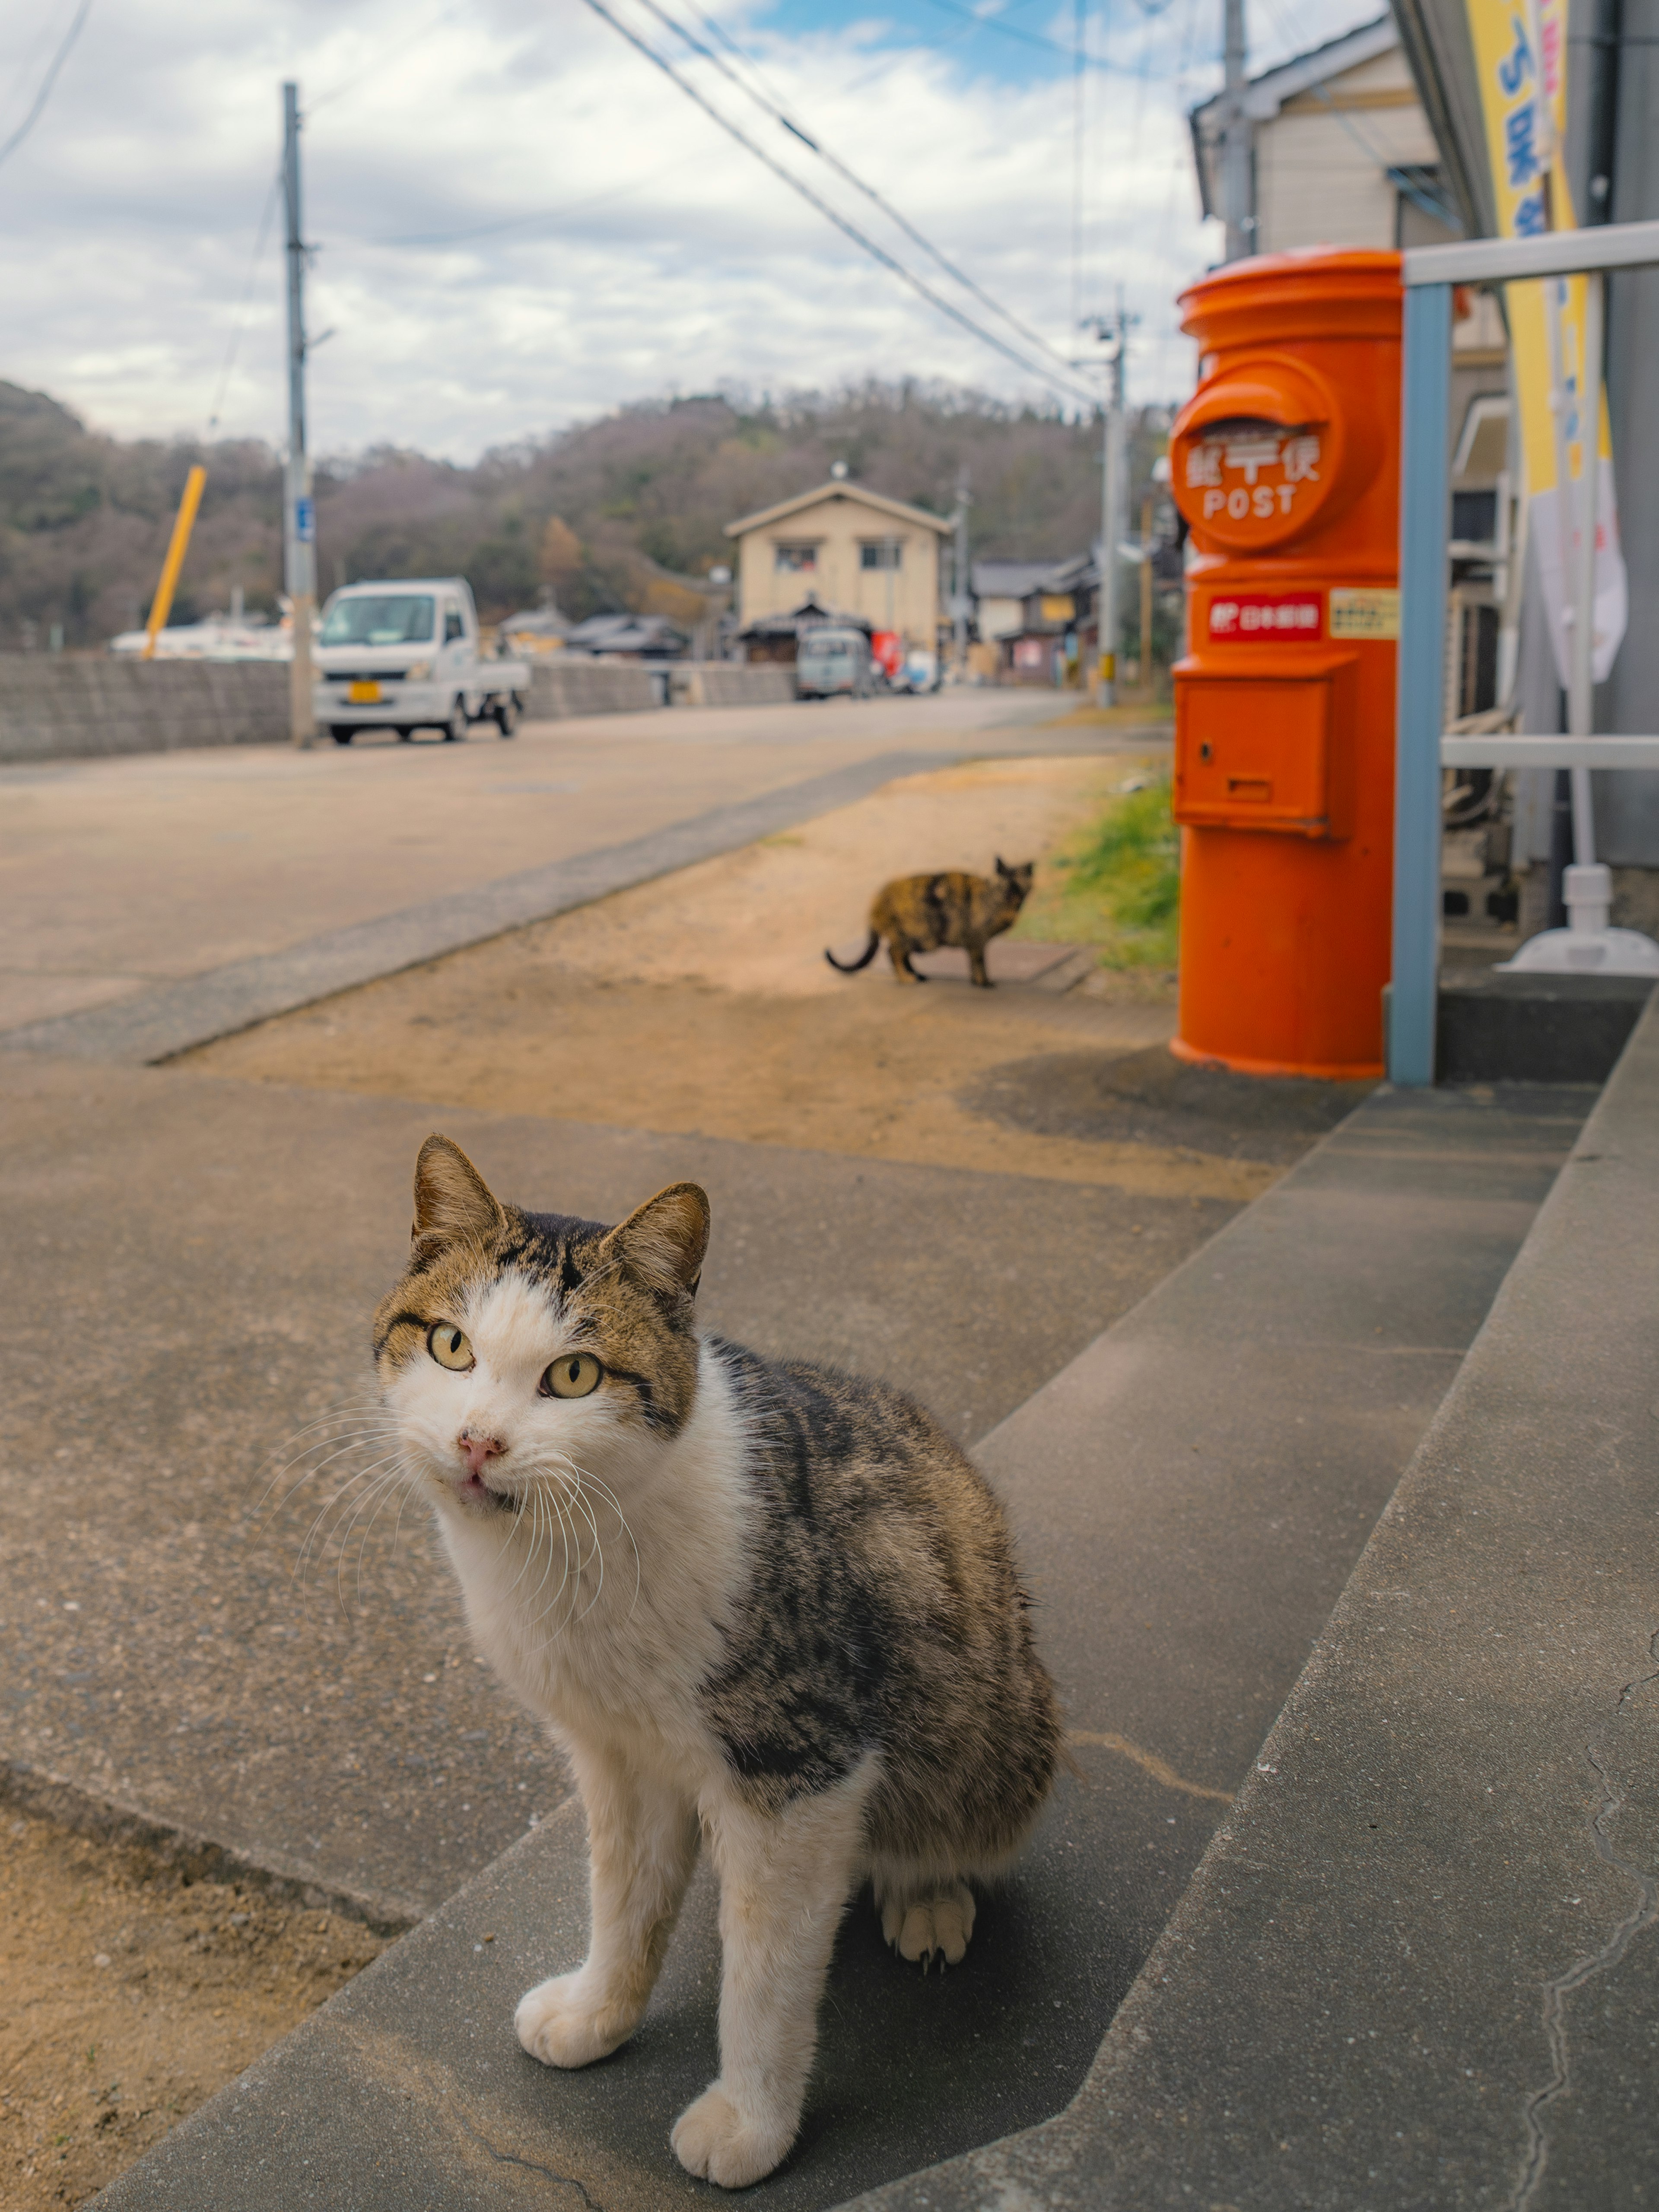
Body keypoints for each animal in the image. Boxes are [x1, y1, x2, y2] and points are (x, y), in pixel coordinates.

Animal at [376, 1141, 1057, 2194]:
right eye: (451, 1346)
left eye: (575, 1374)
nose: (478, 1441)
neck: (579, 1551)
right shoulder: (618, 1754)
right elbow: (624, 1899)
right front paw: (598, 2015)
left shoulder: (800, 1768)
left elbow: (765, 1971)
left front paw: (750, 2124)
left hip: (993, 1721)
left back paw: (928, 1896)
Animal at [827, 854, 1035, 986]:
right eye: (1003, 886)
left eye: (1017, 886)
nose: (1009, 894)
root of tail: (877, 900)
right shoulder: (977, 940)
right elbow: (980, 964)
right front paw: (984, 983)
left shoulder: (974, 943)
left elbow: (974, 963)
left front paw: (977, 982)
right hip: (915, 935)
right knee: (893, 952)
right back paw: (906, 979)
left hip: (916, 938)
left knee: (903, 955)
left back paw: (917, 975)